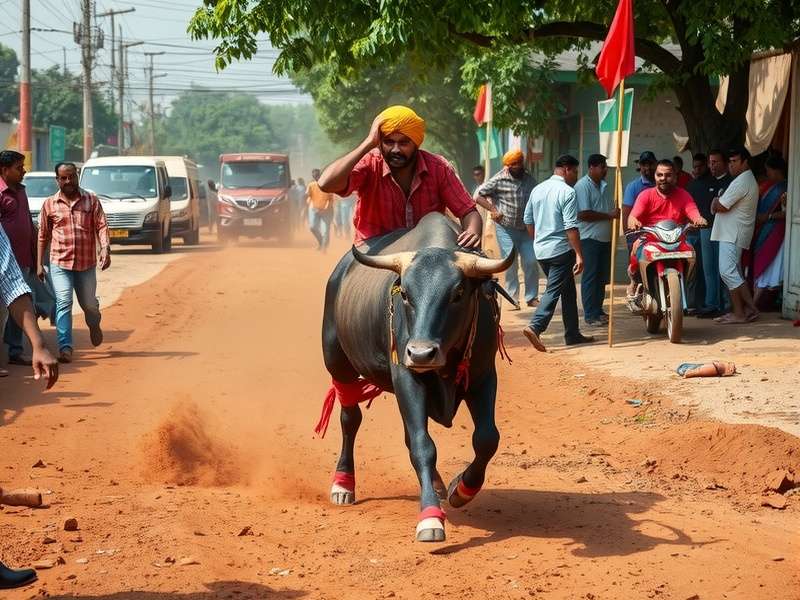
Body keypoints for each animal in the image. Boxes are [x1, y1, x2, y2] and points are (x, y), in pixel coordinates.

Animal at [316, 212, 515, 542]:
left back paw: (436, 483)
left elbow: (487, 438)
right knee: (350, 418)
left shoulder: (483, 376)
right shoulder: (407, 377)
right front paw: (430, 517)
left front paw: (462, 488)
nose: (421, 354)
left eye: (458, 293)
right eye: (406, 295)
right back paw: (343, 483)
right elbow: (423, 445)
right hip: (337, 361)